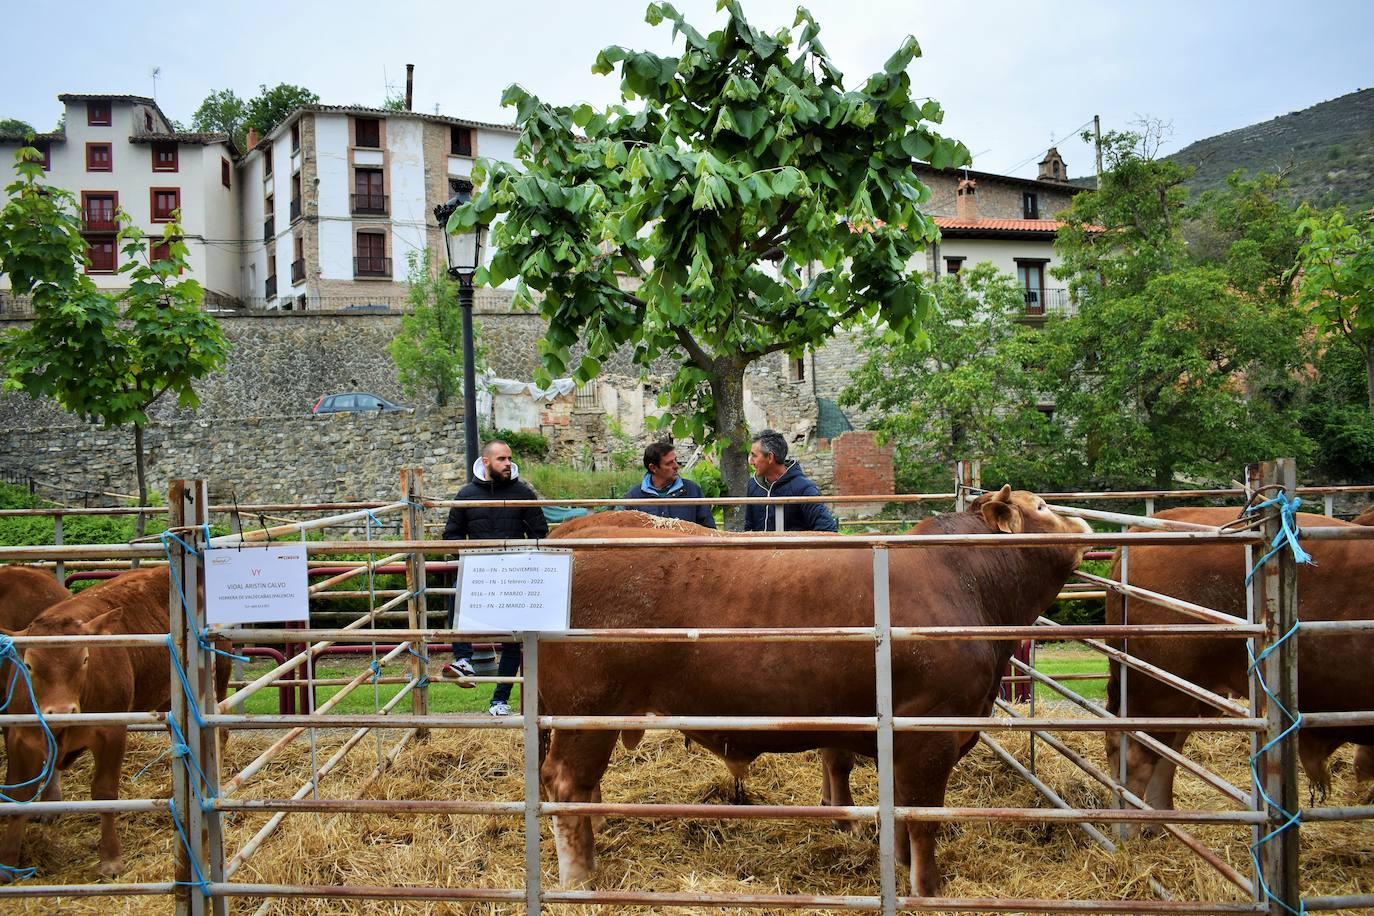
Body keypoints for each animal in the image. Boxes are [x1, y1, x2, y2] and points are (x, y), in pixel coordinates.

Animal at [0, 565, 228, 878]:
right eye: (29, 664)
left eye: (85, 659)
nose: (62, 710)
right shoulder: (19, 736)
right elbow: (18, 795)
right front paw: (9, 861)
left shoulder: (111, 732)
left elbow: (105, 793)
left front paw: (110, 858)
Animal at [541, 486, 1088, 895]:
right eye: (1042, 507)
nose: (1083, 526)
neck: (967, 581)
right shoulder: (931, 729)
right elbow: (922, 817)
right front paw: (928, 889)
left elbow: (897, 809)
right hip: (587, 708)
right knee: (565, 782)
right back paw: (579, 878)